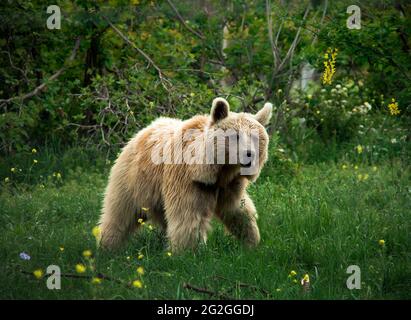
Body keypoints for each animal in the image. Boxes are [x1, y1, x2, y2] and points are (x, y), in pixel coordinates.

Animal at [98, 96, 274, 251]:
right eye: (235, 135)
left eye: (255, 137)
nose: (249, 154)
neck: (216, 170)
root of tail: (143, 130)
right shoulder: (187, 180)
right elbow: (188, 216)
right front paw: (188, 252)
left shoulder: (229, 184)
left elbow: (238, 210)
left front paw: (251, 241)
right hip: (133, 179)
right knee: (119, 213)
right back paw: (107, 245)